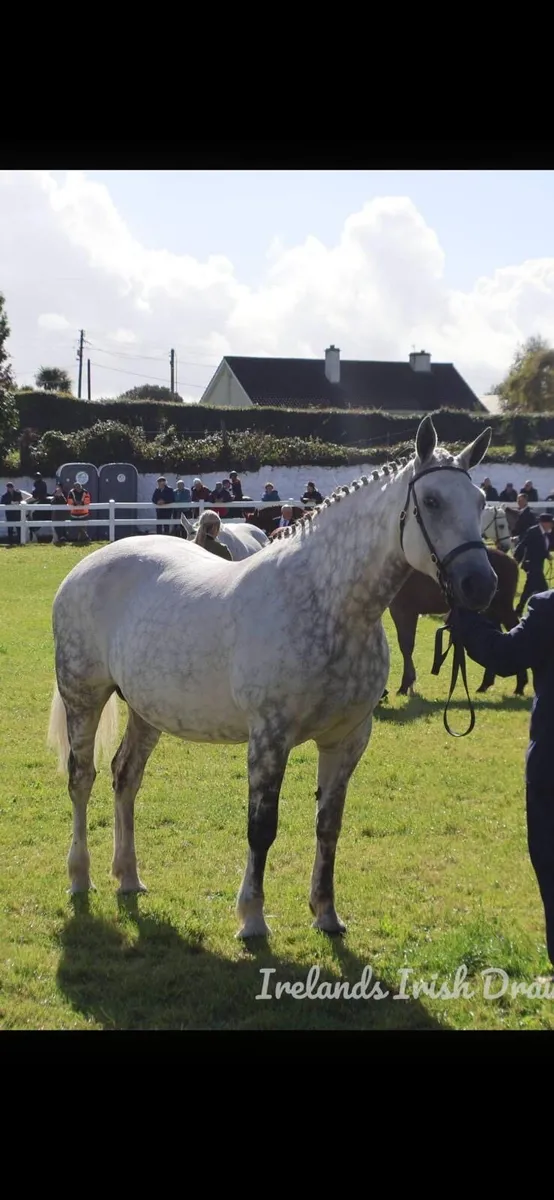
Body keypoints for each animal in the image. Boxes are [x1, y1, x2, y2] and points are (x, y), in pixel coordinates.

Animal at [46, 415, 497, 940]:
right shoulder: (269, 737)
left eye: (481, 501)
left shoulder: (348, 739)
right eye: (433, 501)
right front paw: (253, 918)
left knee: (125, 777)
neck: (328, 602)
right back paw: (80, 877)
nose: (480, 585)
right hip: (83, 695)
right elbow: (262, 827)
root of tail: (87, 565)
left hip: (146, 710)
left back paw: (129, 877)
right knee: (82, 778)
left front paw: (326, 913)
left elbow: (329, 824)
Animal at [389, 547, 528, 697]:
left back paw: (519, 685)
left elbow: (406, 646)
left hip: (503, 607)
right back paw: (486, 684)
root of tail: (512, 561)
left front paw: (405, 686)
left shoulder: (403, 611)